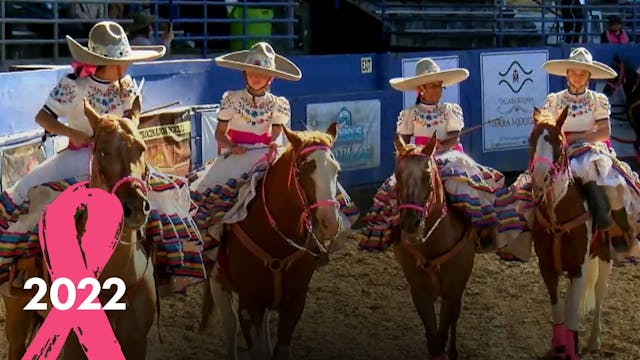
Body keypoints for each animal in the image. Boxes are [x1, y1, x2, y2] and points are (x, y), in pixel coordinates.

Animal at [1, 96, 157, 360]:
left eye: (142, 148)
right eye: (102, 151)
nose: (135, 207)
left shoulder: (137, 342)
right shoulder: (74, 346)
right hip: (16, 316)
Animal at [202, 122, 344, 358]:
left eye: (336, 169)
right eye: (304, 169)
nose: (330, 222)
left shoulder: (295, 302)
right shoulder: (249, 305)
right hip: (217, 282)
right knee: (229, 326)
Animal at [390, 135, 476, 360]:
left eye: (427, 175)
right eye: (397, 174)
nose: (410, 222)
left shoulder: (452, 291)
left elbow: (444, 331)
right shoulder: (419, 292)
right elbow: (433, 340)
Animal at [528, 105, 612, 358]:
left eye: (559, 140)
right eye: (530, 139)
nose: (540, 177)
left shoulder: (578, 269)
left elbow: (573, 314)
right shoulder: (547, 267)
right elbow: (558, 310)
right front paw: (558, 347)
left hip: (605, 255)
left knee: (600, 292)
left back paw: (594, 340)